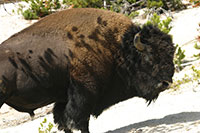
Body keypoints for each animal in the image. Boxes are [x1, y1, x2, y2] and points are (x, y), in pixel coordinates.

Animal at [0, 7, 175, 132]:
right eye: (149, 57)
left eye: (171, 54)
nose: (165, 83)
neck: (116, 47)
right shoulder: (84, 92)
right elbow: (78, 120)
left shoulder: (65, 98)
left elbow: (64, 120)